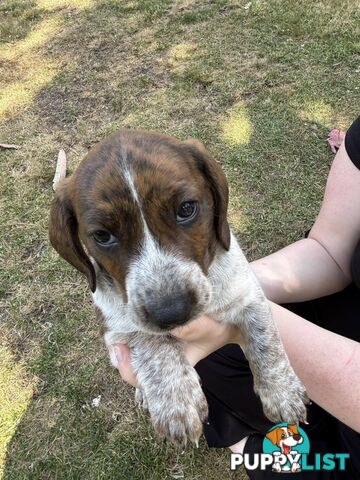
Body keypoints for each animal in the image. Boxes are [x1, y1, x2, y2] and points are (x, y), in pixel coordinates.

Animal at [48, 130, 310, 446]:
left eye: (186, 209)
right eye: (102, 236)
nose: (172, 311)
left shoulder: (247, 293)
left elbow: (265, 338)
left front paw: (282, 391)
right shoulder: (116, 330)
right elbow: (152, 342)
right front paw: (177, 403)